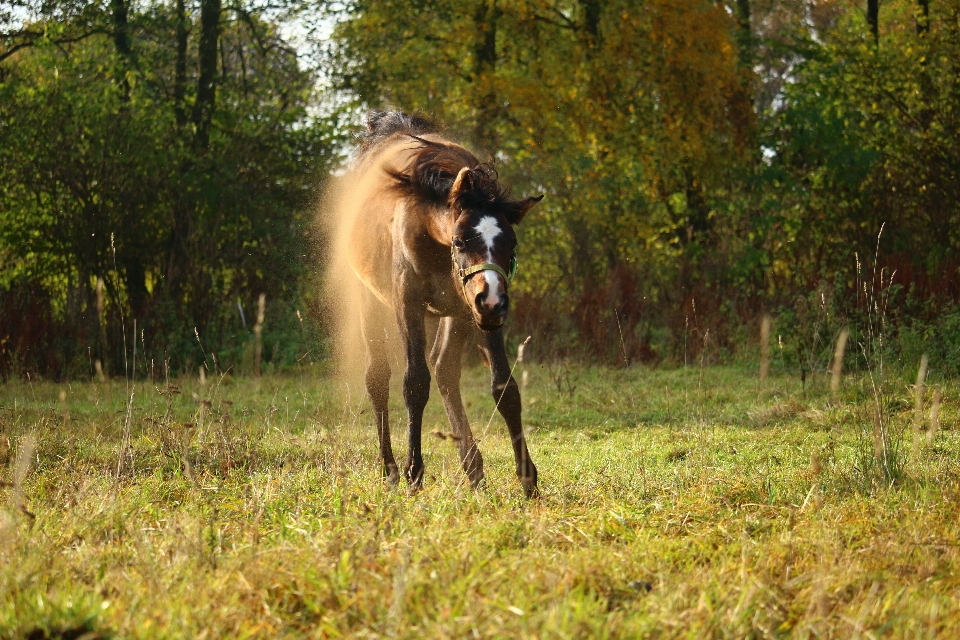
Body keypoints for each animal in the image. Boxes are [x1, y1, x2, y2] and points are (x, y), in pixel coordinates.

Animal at [342, 111, 544, 496]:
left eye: (511, 243)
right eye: (461, 240)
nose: (492, 298)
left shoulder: (479, 313)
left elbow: (504, 387)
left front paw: (528, 479)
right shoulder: (408, 303)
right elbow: (414, 383)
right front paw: (414, 472)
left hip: (460, 311)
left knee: (445, 366)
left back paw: (474, 468)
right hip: (370, 302)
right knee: (378, 378)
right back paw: (390, 469)